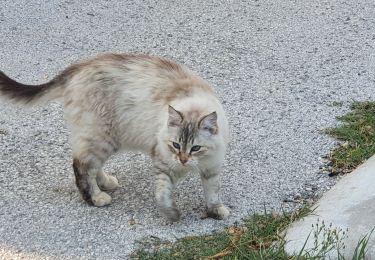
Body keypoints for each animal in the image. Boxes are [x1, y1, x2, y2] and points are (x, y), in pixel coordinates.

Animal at [0, 53, 231, 221]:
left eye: (195, 148)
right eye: (175, 145)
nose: (183, 160)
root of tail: (79, 67)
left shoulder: (211, 168)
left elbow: (213, 193)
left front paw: (216, 211)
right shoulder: (163, 163)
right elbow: (163, 195)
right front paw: (172, 215)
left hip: (105, 139)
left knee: (93, 166)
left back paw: (106, 182)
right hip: (101, 138)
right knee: (82, 167)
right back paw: (96, 198)